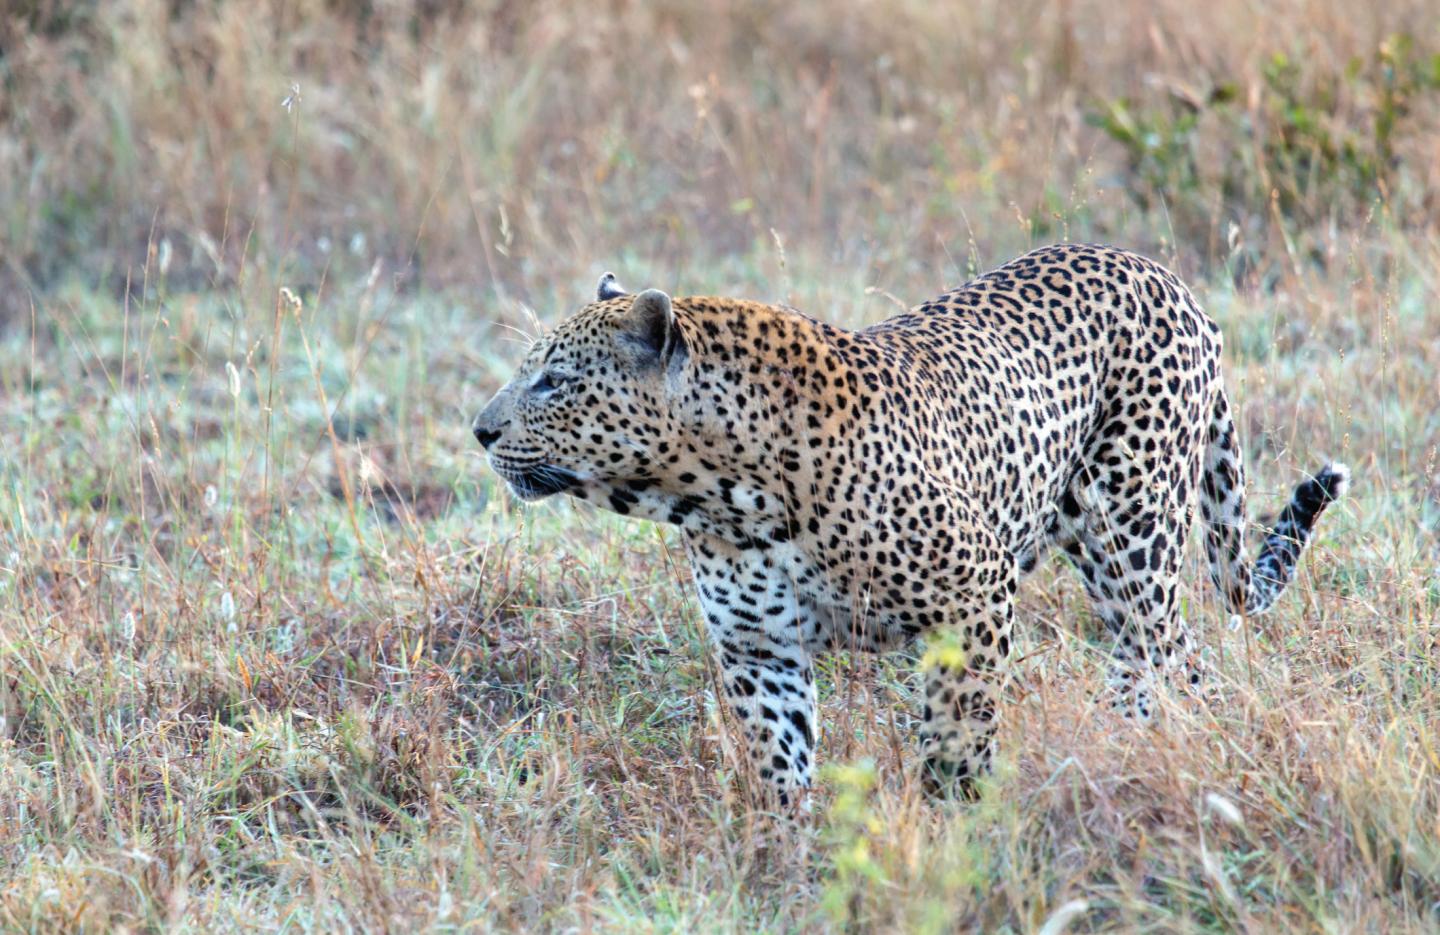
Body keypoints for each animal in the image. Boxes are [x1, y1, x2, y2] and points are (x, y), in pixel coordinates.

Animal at [471, 244, 1349, 805]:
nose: (480, 429)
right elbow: (781, 769)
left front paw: (953, 818)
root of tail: (1166, 276)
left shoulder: (975, 593)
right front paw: (788, 865)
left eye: (553, 381)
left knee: (1169, 654)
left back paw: (1151, 748)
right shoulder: (760, 648)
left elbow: (960, 729)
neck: (723, 495)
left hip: (1134, 532)